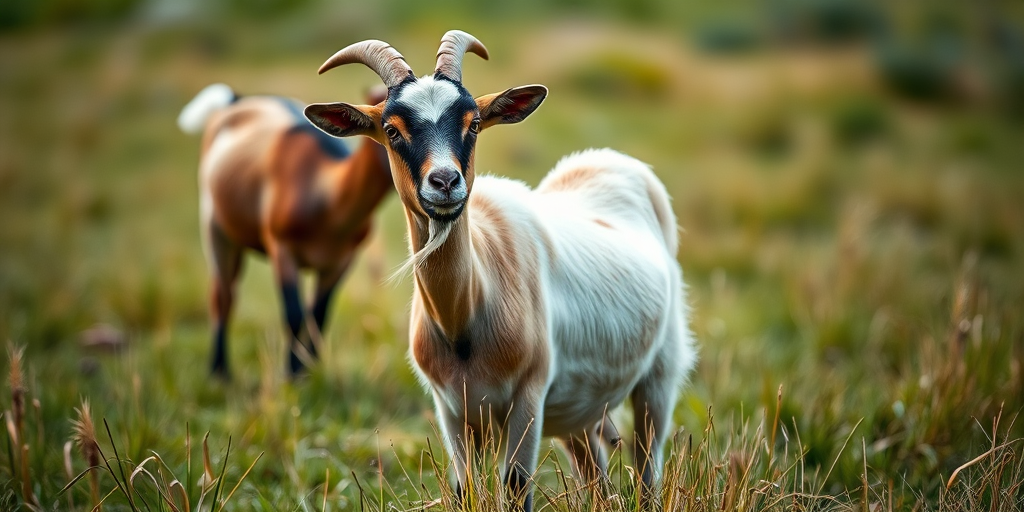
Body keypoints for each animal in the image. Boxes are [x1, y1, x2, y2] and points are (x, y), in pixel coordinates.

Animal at [178, 84, 392, 377]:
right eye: (389, 129)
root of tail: (236, 100)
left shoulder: (341, 261)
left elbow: (318, 317)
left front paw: (308, 372)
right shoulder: (281, 249)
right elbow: (294, 315)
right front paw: (291, 374)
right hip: (215, 227)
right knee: (222, 295)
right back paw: (219, 373)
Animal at [304, 31, 697, 510]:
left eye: (473, 123)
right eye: (392, 130)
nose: (446, 182)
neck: (465, 317)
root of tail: (613, 163)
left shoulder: (527, 397)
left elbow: (516, 485)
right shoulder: (452, 409)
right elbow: (464, 488)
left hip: (659, 377)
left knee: (647, 468)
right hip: (578, 413)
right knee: (596, 476)